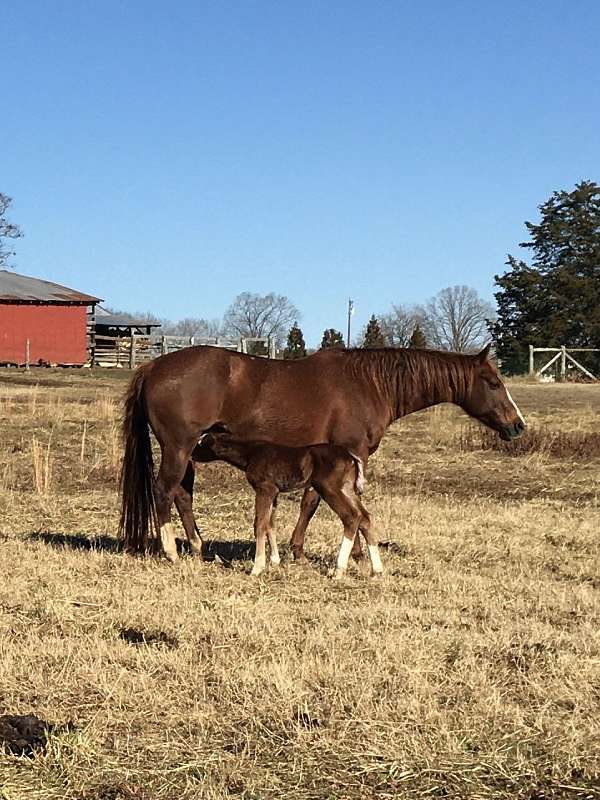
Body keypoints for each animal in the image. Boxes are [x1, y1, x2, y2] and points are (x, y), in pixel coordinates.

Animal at [119, 344, 525, 562]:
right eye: (493, 382)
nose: (518, 425)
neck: (368, 384)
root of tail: (153, 365)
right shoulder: (349, 452)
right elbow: (337, 505)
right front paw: (356, 555)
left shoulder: (322, 457)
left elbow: (311, 502)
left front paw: (298, 551)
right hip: (178, 447)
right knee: (165, 490)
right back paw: (172, 551)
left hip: (189, 450)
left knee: (183, 493)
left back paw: (200, 548)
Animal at [193, 433, 377, 578]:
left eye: (201, 444)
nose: (191, 455)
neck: (250, 454)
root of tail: (351, 458)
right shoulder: (274, 493)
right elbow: (270, 524)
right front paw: (275, 561)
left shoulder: (265, 489)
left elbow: (259, 524)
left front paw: (257, 568)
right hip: (347, 488)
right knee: (365, 517)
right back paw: (377, 570)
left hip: (329, 488)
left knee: (351, 516)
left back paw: (339, 571)